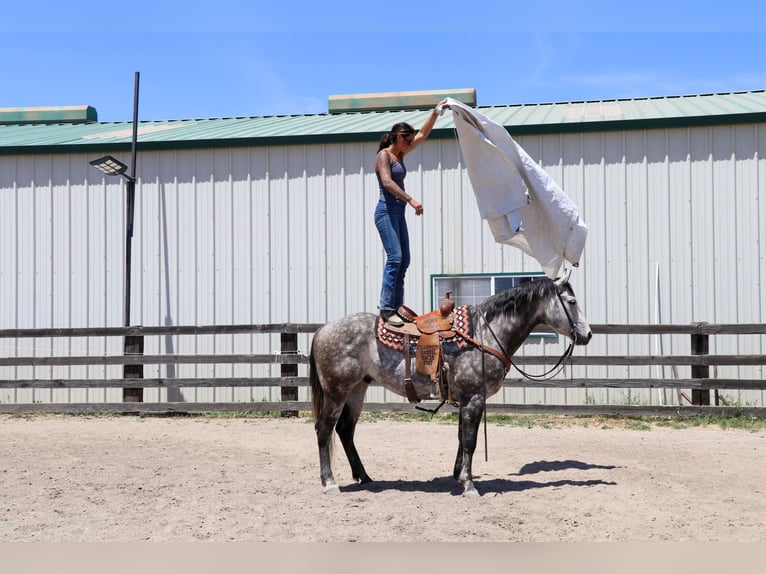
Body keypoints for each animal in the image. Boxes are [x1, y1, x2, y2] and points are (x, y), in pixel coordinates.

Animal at [309, 272, 592, 498]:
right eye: (572, 302)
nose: (587, 334)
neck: (485, 334)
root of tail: (322, 330)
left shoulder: (466, 400)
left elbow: (461, 438)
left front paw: (458, 476)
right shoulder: (474, 398)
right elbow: (470, 441)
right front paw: (469, 485)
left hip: (357, 389)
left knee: (345, 430)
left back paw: (364, 476)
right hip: (336, 392)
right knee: (324, 430)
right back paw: (330, 482)